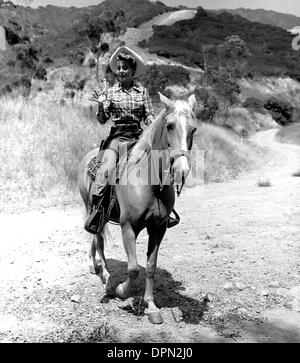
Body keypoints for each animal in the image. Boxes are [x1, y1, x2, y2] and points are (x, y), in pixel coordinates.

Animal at [78, 93, 197, 324]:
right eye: (169, 125)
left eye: (193, 129)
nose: (182, 169)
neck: (149, 181)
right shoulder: (128, 227)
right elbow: (133, 268)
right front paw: (121, 291)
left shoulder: (158, 228)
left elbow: (150, 267)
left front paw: (151, 306)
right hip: (91, 208)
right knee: (98, 237)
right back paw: (105, 276)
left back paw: (96, 266)